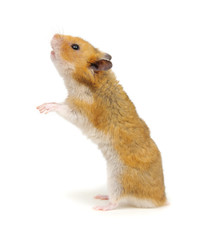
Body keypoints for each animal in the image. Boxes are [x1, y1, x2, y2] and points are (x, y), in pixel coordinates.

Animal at [36, 33, 167, 210]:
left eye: (75, 47)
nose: (54, 35)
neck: (86, 82)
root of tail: (161, 200)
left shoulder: (80, 111)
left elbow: (61, 107)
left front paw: (44, 107)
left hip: (118, 178)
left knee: (117, 200)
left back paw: (101, 205)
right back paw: (101, 196)